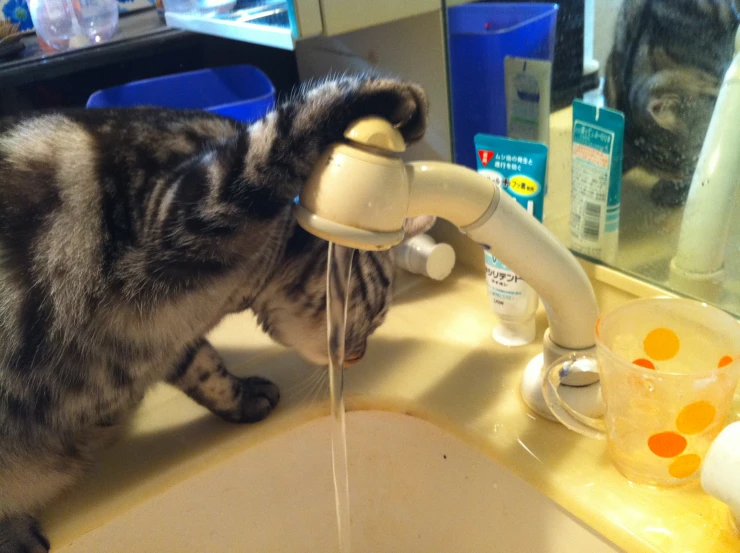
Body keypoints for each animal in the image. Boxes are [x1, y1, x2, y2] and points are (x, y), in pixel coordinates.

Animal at [0, 75, 434, 548]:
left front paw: (243, 398)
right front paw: (386, 97)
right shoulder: (184, 206)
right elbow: (279, 134)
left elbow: (207, 369)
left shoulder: (171, 338)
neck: (228, 293)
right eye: (375, 316)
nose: (356, 357)